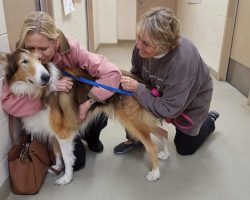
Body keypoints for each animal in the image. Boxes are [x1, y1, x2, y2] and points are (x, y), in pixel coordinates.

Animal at [0, 49, 169, 185]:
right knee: (164, 132)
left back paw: (155, 173)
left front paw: (66, 178)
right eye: (24, 61)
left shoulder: (63, 133)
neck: (37, 91)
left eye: (40, 59)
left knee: (151, 145)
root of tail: (137, 81)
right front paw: (57, 167)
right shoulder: (53, 131)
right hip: (139, 121)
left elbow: (67, 157)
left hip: (133, 121)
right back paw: (166, 155)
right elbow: (57, 153)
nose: (46, 77)